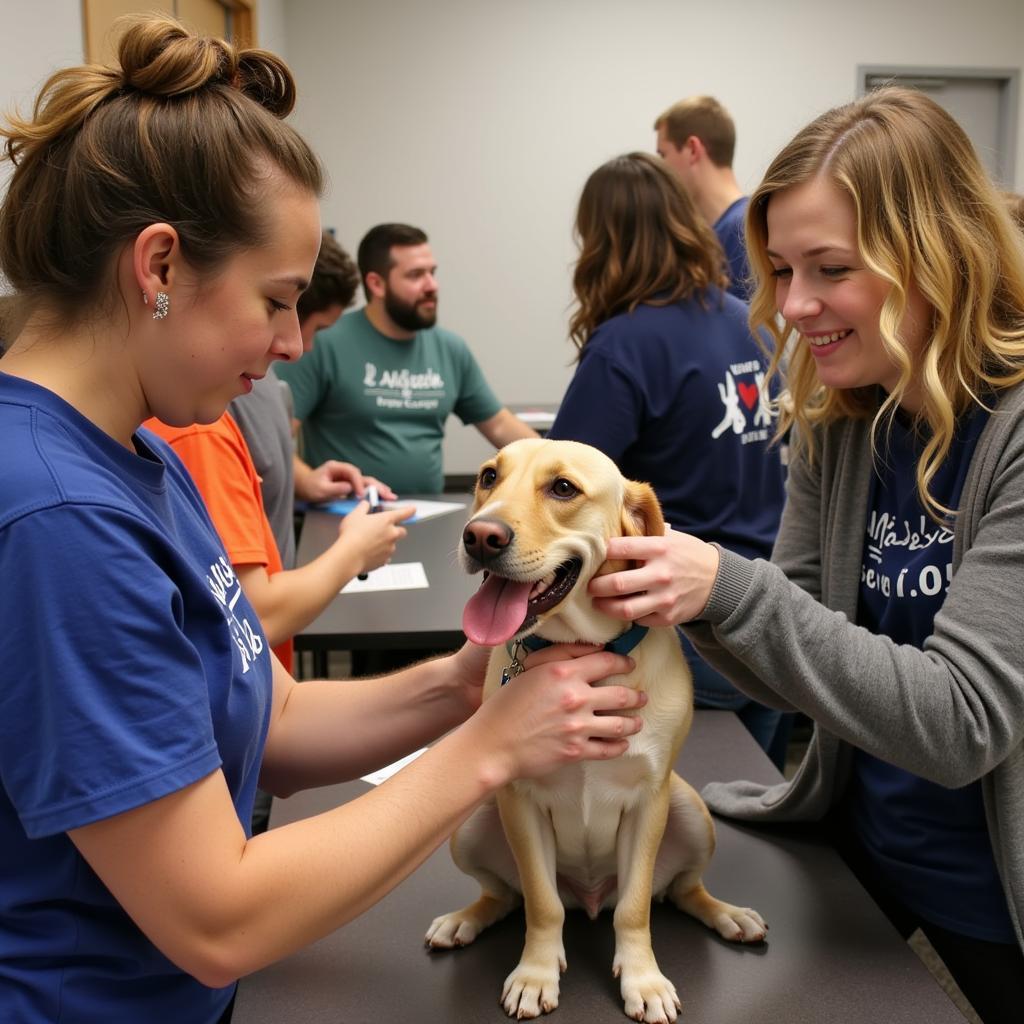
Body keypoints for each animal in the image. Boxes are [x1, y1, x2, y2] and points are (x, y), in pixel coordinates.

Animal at [423, 440, 770, 1024]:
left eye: (563, 488)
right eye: (489, 477)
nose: (480, 535)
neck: (581, 650)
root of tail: (588, 899)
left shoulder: (649, 800)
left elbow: (634, 909)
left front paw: (643, 980)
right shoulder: (520, 800)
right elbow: (542, 905)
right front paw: (536, 973)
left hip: (690, 812)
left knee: (681, 890)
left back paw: (728, 914)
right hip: (471, 825)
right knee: (507, 896)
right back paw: (464, 919)